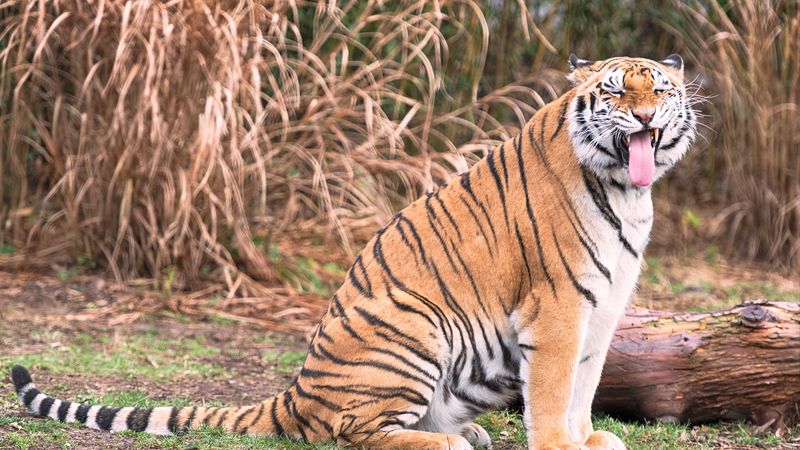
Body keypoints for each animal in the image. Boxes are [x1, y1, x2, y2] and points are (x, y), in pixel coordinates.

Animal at [11, 54, 697, 450]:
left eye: (659, 90)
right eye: (616, 92)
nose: (643, 116)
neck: (627, 191)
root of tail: (296, 391)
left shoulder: (602, 307)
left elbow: (585, 383)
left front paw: (590, 440)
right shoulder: (555, 307)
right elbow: (554, 390)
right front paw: (561, 445)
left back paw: (467, 432)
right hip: (418, 322)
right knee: (352, 431)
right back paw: (446, 443)